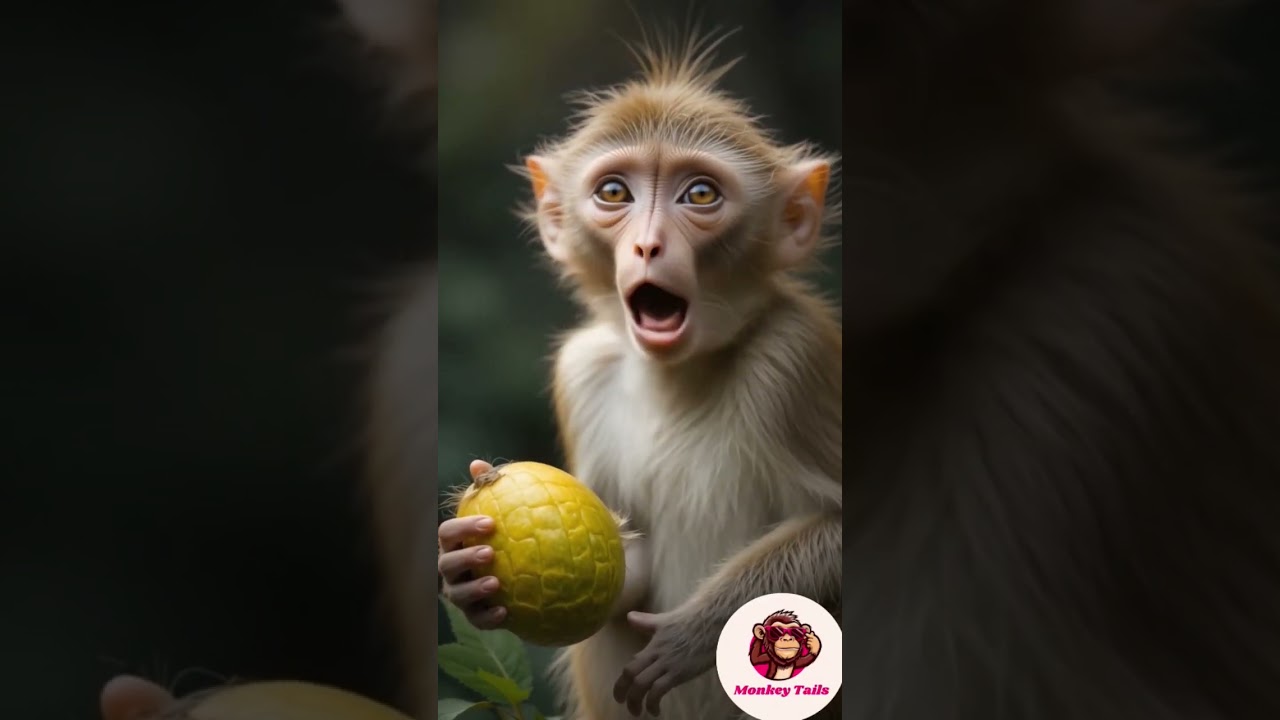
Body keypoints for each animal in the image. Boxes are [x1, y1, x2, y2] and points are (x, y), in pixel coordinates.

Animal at [436, 31, 843, 720]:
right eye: (614, 194)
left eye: (700, 195)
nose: (648, 245)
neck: (677, 375)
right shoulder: (581, 372)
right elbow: (626, 566)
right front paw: (466, 569)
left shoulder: (794, 357)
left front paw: (694, 632)